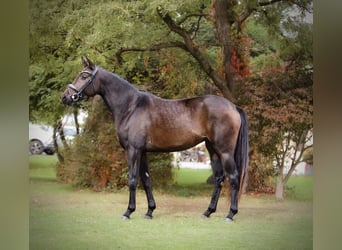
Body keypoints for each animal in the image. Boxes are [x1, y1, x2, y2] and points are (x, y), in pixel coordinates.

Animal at [61, 56, 248, 221]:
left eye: (84, 76)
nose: (65, 97)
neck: (131, 107)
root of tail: (233, 107)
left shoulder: (133, 150)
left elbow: (132, 180)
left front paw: (128, 212)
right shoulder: (142, 152)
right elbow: (146, 180)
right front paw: (149, 211)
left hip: (225, 151)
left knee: (233, 177)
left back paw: (230, 214)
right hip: (212, 149)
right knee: (218, 178)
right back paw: (208, 212)